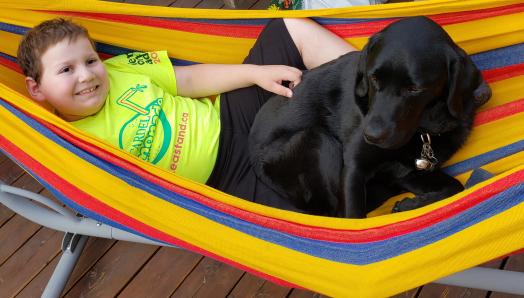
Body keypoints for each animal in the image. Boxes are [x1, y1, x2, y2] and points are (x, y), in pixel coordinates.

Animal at [249, 16, 492, 218]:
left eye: (414, 88)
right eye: (374, 78)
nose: (372, 136)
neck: (424, 130)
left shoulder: (409, 171)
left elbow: (455, 187)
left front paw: (409, 205)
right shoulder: (354, 167)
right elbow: (354, 219)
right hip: (316, 138)